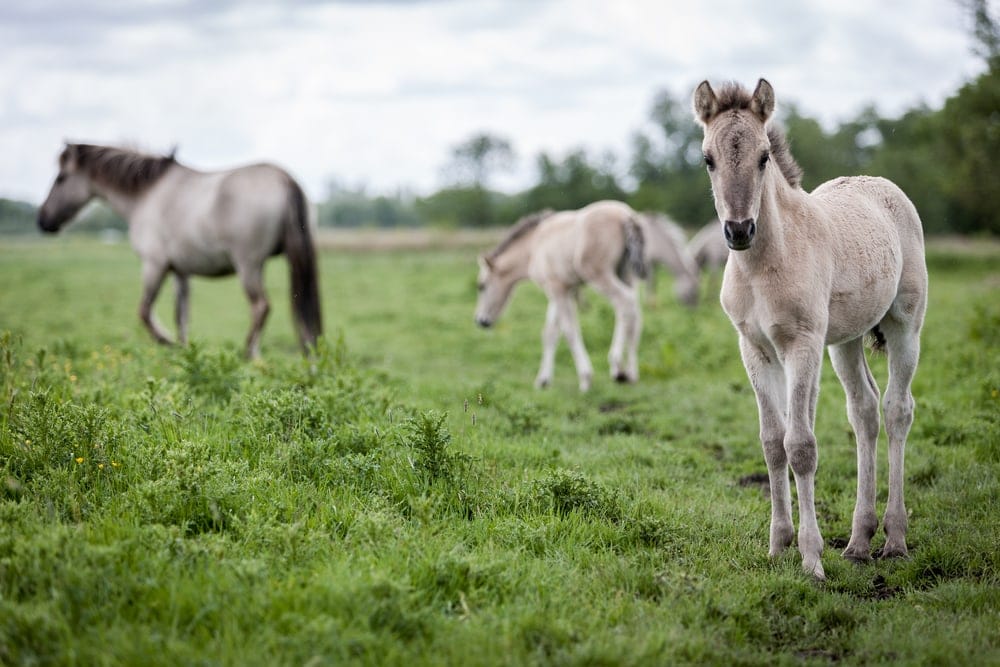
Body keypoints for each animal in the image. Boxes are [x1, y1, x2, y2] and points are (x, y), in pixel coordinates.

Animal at [38, 143, 322, 358]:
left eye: (60, 178)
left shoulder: (154, 265)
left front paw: (168, 342)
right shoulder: (180, 271)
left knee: (260, 306)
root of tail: (283, 178)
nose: (43, 220)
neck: (147, 194)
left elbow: (145, 312)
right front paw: (185, 353)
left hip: (249, 265)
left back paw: (248, 354)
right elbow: (181, 316)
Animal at [475, 200, 647, 392]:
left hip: (599, 274)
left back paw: (617, 367)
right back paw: (631, 373)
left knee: (624, 303)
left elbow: (569, 330)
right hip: (626, 274)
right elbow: (550, 333)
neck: (534, 246)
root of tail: (627, 216)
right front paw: (543, 380)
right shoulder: (564, 290)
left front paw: (585, 379)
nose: (481, 321)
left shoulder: (556, 288)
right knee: (635, 312)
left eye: (481, 286)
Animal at [693, 79, 927, 580]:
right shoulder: (755, 349)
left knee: (897, 409)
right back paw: (858, 542)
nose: (739, 230)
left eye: (764, 156)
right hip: (845, 341)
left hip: (905, 325)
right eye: (708, 158)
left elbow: (800, 444)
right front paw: (778, 545)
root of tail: (879, 183)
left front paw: (811, 558)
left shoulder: (801, 344)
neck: (763, 265)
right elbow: (771, 443)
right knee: (864, 411)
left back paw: (894, 539)